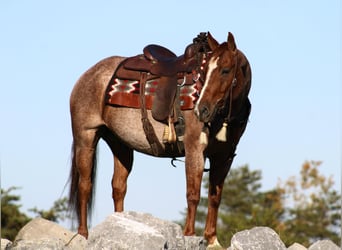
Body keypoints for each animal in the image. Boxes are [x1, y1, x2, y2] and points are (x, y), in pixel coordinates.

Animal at [69, 30, 251, 247]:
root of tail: (88, 75)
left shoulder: (224, 157)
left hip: (120, 145)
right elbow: (193, 194)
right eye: (205, 71)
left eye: (225, 70)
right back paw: (83, 234)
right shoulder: (194, 149)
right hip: (85, 138)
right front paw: (190, 235)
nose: (202, 109)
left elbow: (215, 197)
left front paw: (212, 240)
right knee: (85, 185)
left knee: (118, 187)